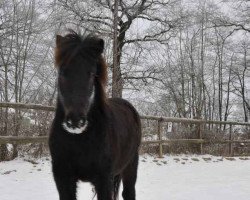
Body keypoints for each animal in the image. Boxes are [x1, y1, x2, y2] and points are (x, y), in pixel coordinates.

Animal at [48, 30, 142, 200]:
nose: (75, 121)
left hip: (131, 164)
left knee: (129, 192)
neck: (79, 140)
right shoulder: (63, 178)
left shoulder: (104, 179)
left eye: (92, 73)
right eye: (62, 72)